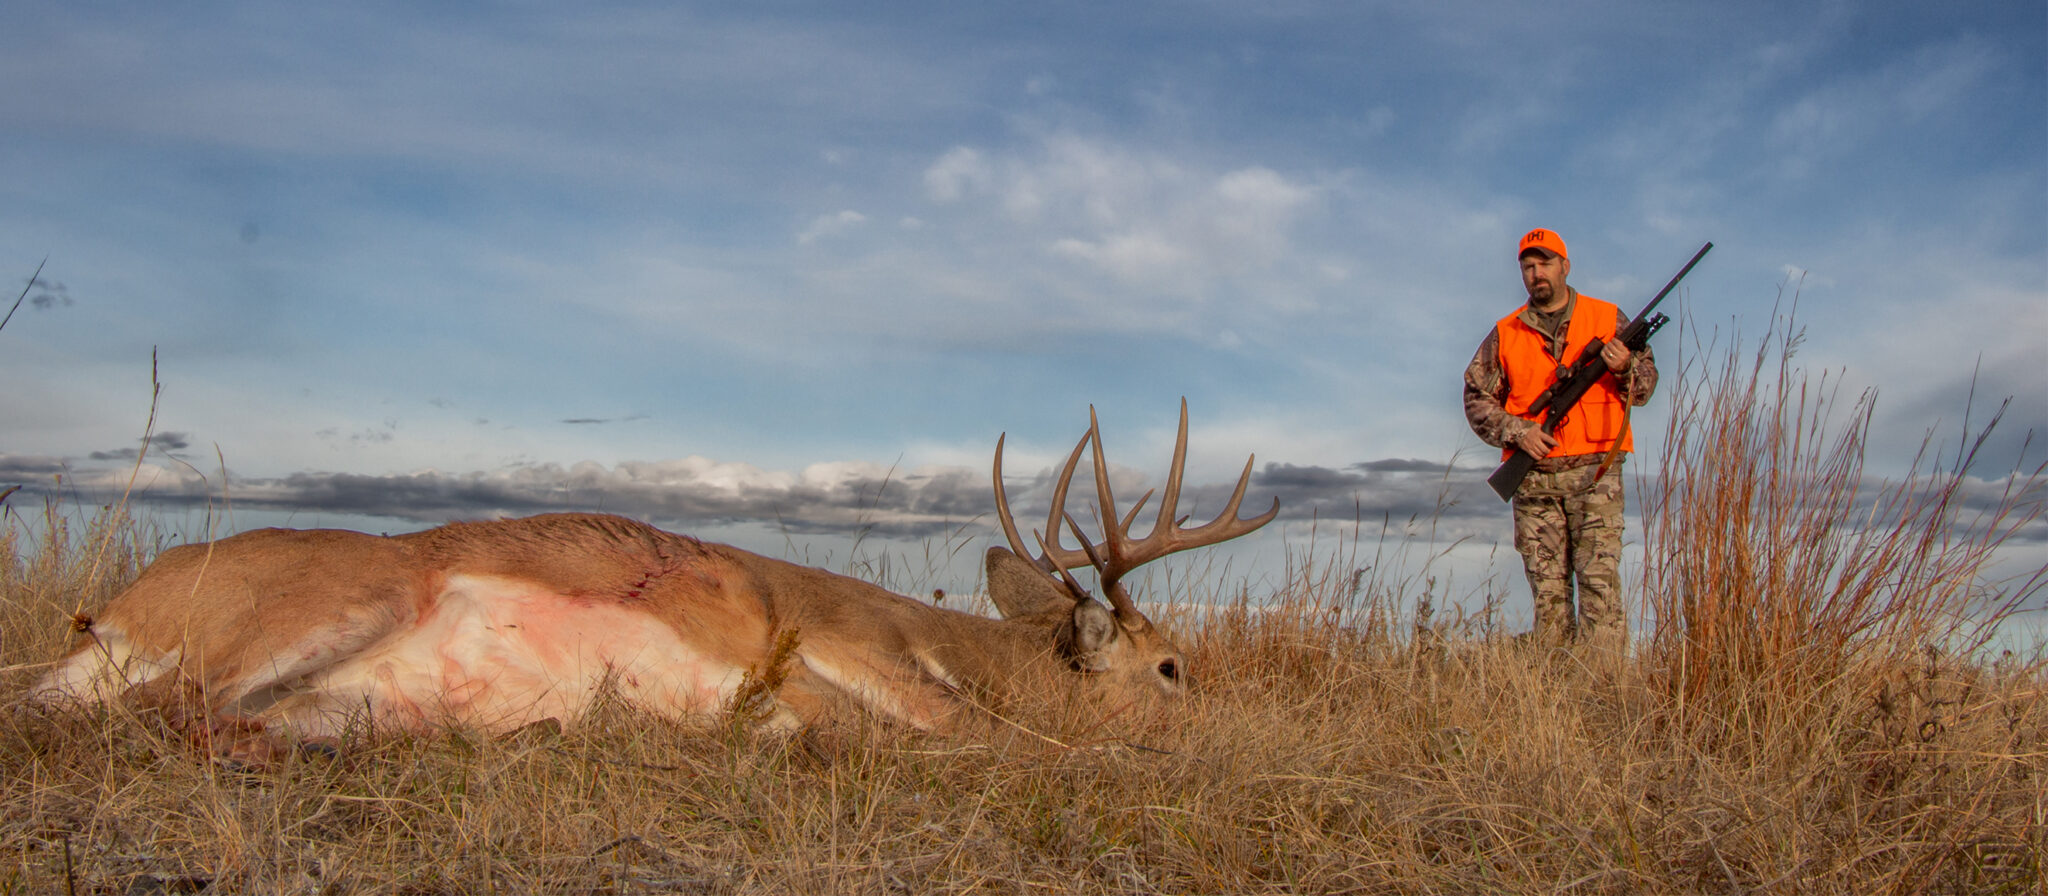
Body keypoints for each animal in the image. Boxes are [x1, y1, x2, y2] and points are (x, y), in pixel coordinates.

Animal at [30, 402, 1277, 759]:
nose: (1224, 726)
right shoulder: (836, 641)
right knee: (168, 708)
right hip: (341, 600)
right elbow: (983, 733)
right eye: (1172, 666)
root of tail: (116, 613)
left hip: (337, 688)